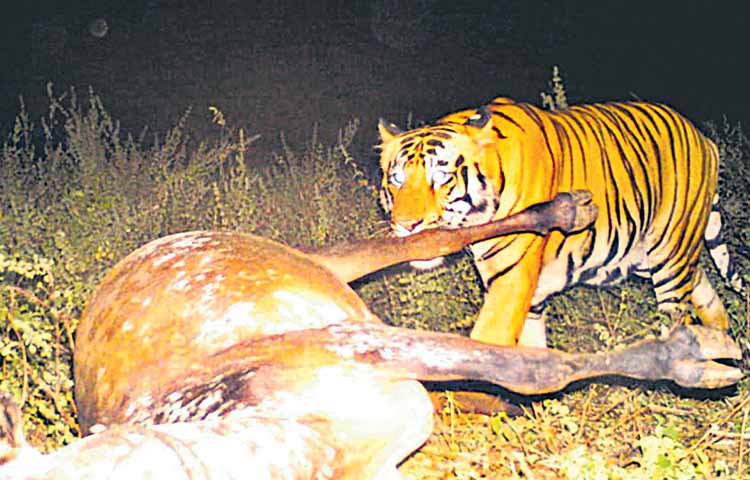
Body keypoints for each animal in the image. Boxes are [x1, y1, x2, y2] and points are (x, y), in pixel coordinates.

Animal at [377, 97, 744, 347]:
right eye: (396, 179)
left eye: (441, 176)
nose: (408, 225)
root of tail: (703, 138)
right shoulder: (531, 294)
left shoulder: (511, 279)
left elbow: (486, 342)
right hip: (647, 256)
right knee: (703, 285)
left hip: (670, 256)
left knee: (677, 311)